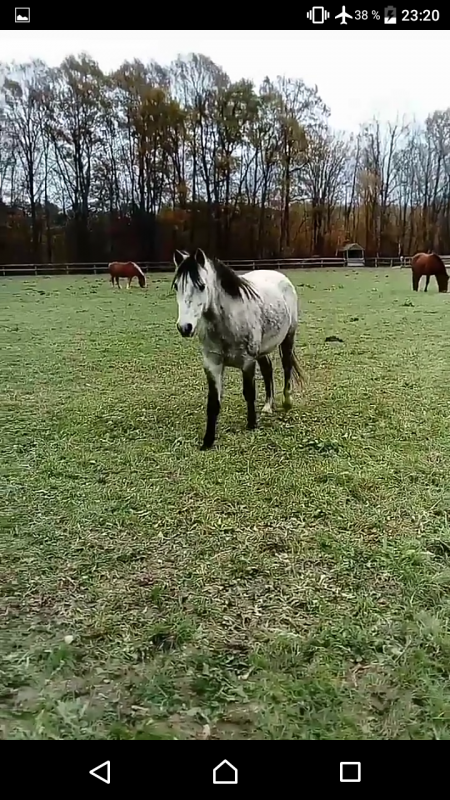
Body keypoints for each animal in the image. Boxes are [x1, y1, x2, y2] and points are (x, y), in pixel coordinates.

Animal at [172, 248, 303, 450]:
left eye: (201, 285)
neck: (228, 320)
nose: (184, 327)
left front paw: (251, 424)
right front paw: (208, 441)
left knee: (286, 366)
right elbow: (213, 402)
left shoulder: (247, 361)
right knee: (268, 369)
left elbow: (249, 393)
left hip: (288, 337)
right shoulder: (212, 364)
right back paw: (268, 405)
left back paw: (287, 402)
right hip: (262, 350)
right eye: (176, 286)